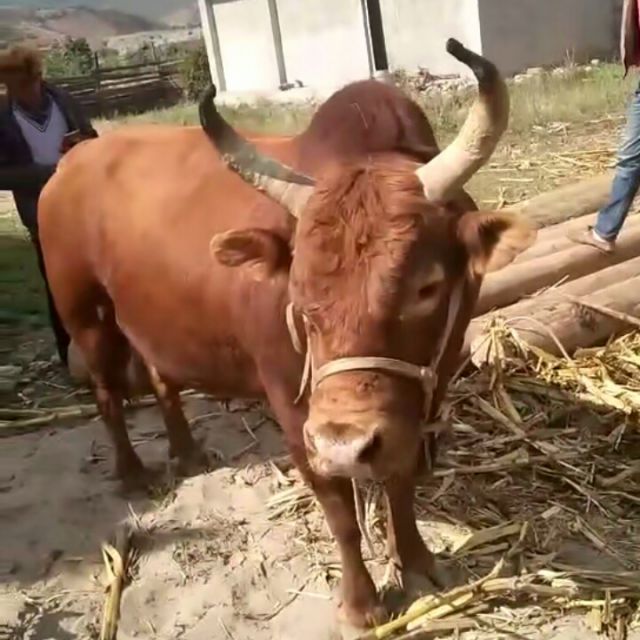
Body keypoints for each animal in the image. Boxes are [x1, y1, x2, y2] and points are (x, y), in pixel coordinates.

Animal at [39, 39, 535, 629]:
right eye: (296, 288)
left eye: (427, 285)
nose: (344, 442)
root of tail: (74, 159)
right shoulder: (298, 414)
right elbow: (339, 510)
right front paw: (361, 604)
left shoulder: (421, 396)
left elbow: (400, 481)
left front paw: (415, 560)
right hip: (86, 314)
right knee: (107, 393)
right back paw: (135, 473)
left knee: (162, 379)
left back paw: (187, 453)